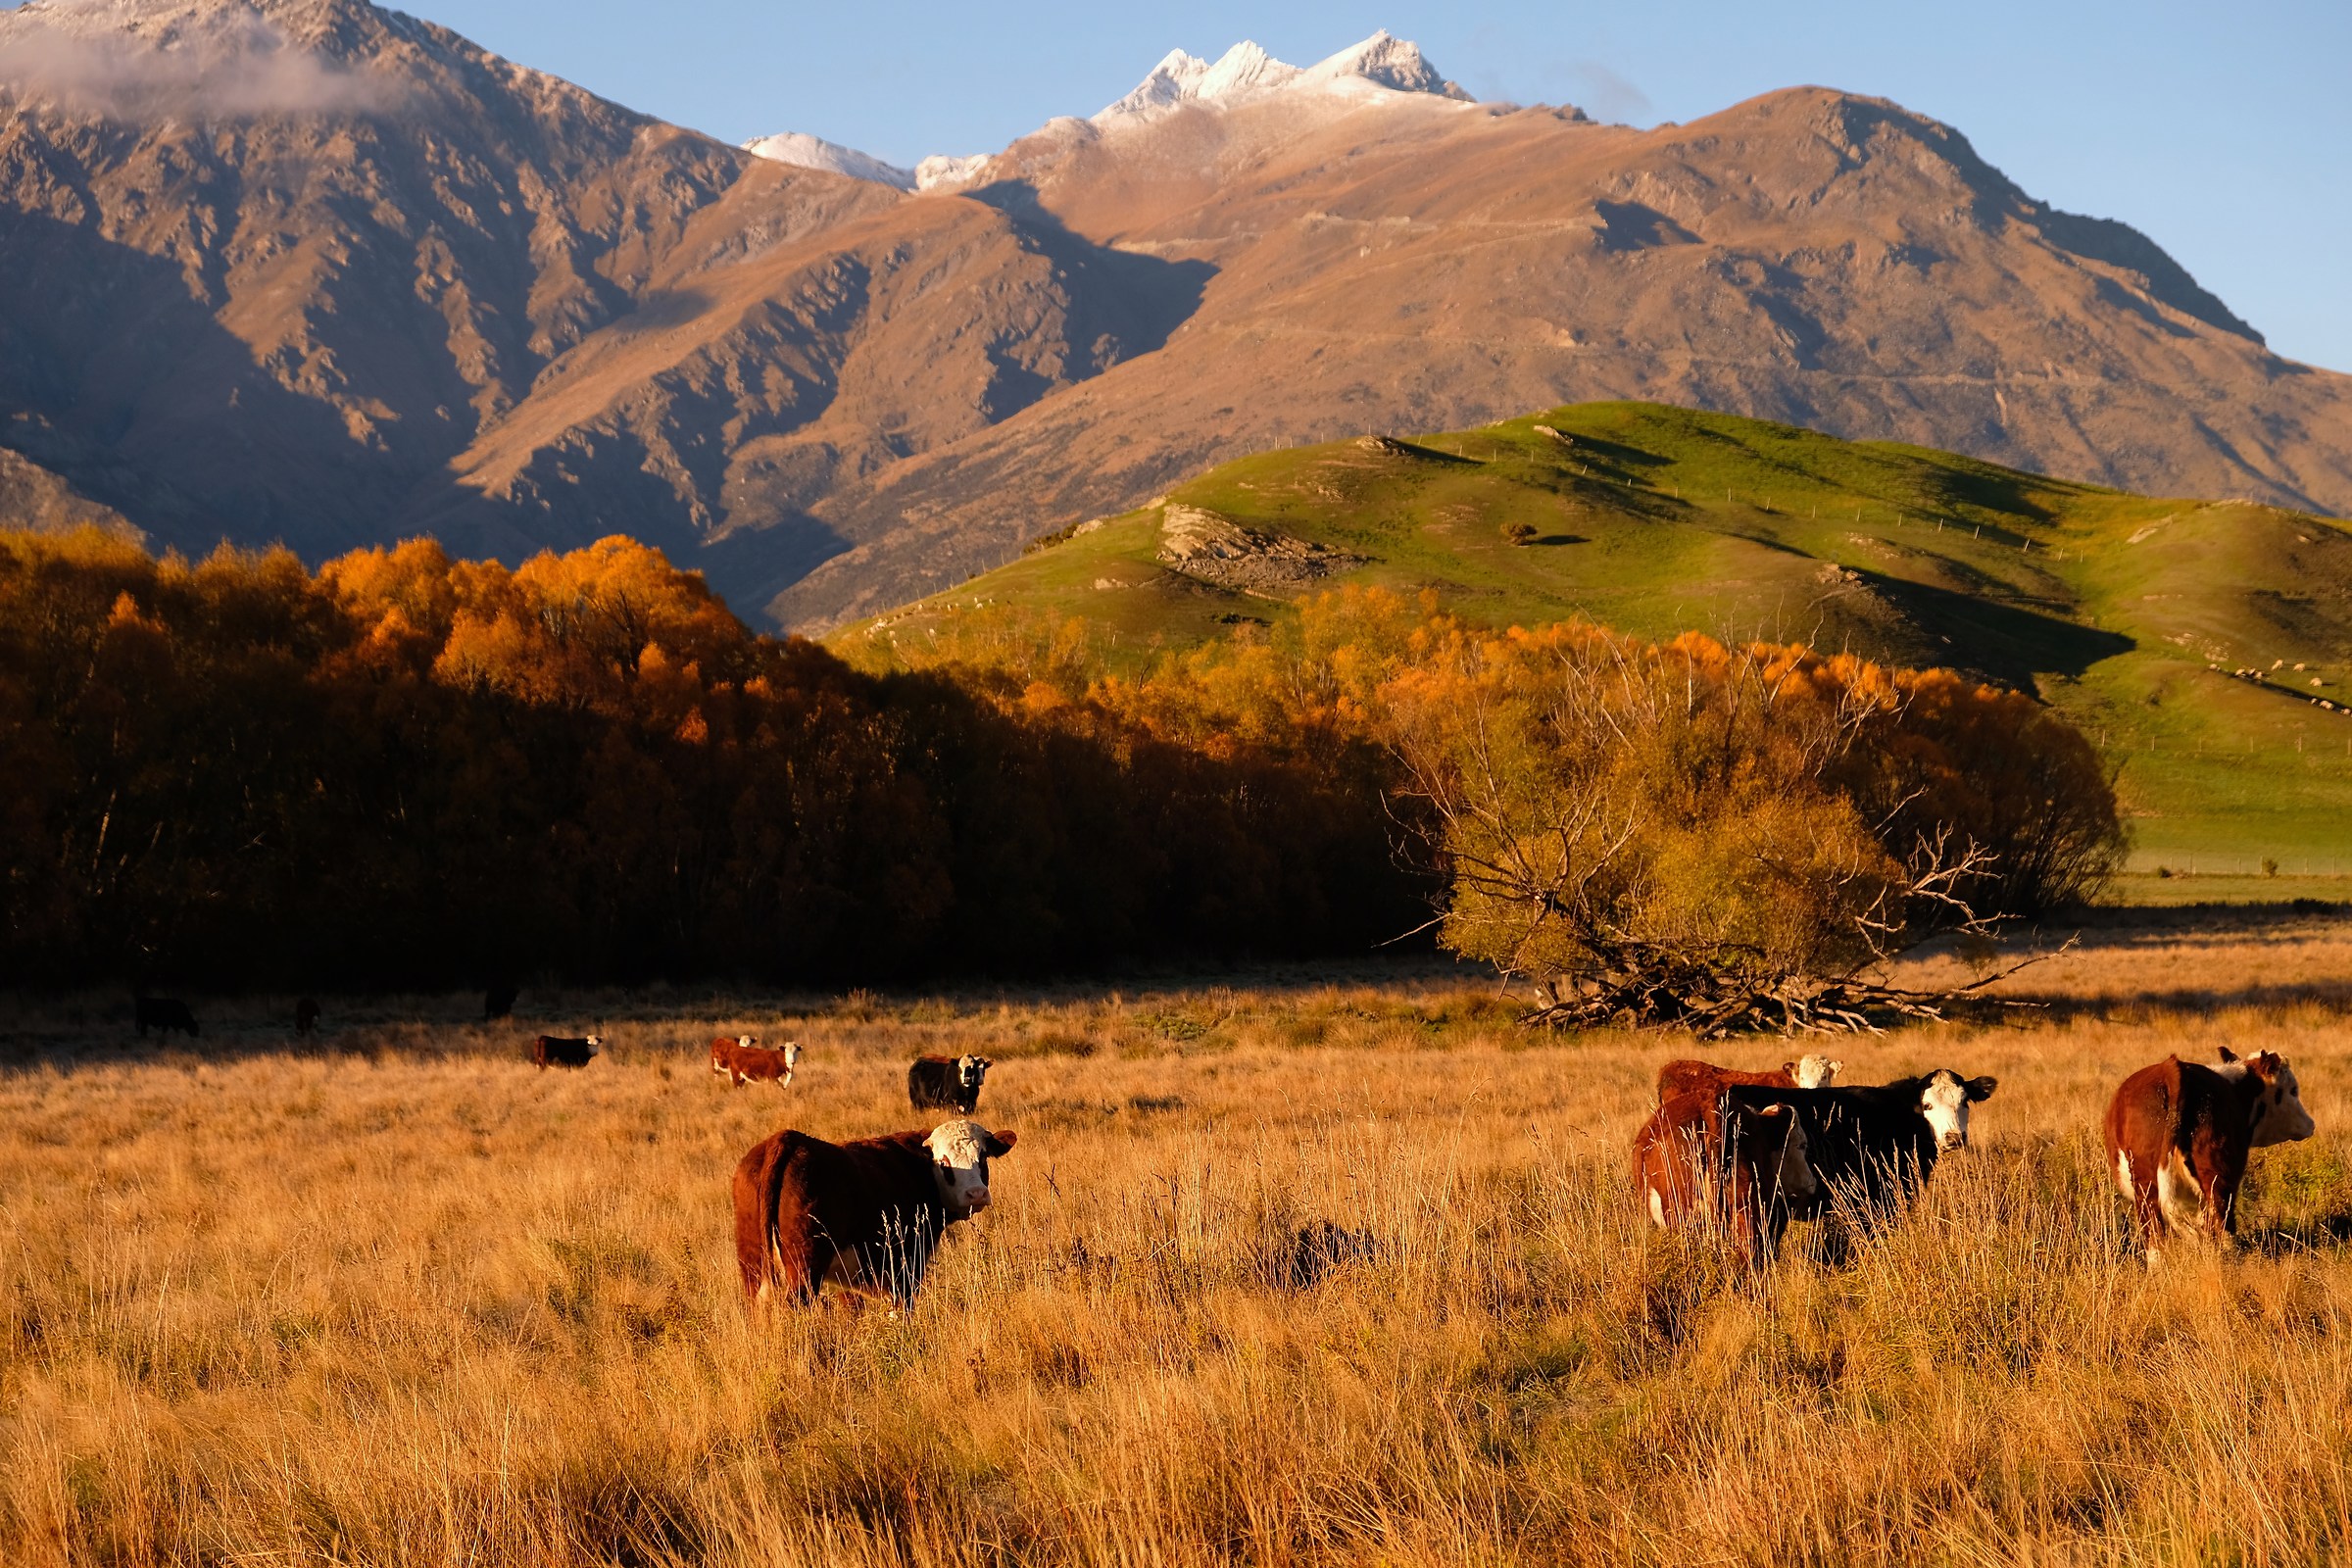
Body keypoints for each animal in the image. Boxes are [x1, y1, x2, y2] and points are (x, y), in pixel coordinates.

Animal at [732, 1118, 1017, 1308]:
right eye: (943, 1162)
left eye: (983, 1157)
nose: (976, 1194)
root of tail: (786, 1139)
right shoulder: (906, 1267)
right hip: (805, 1266)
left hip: (753, 1264)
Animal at [2106, 1047, 2316, 1261]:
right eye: (2293, 1090)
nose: (2310, 1124)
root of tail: (2171, 1070)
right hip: (2217, 1172)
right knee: (2221, 1219)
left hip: (2145, 1182)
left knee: (2154, 1234)